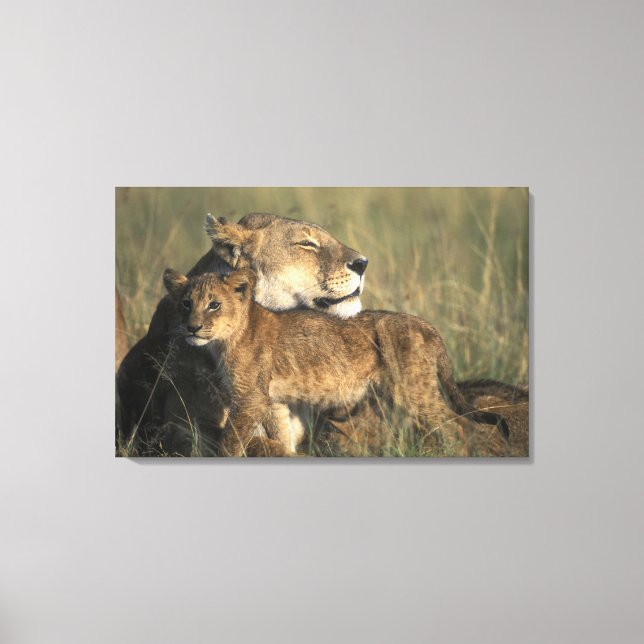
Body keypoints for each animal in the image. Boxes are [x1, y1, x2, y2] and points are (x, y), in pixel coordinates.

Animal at [160, 268, 510, 457]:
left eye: (214, 305)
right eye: (186, 304)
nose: (192, 327)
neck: (226, 339)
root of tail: (426, 324)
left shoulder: (250, 399)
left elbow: (230, 440)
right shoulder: (273, 401)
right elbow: (282, 436)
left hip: (413, 390)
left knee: (459, 428)